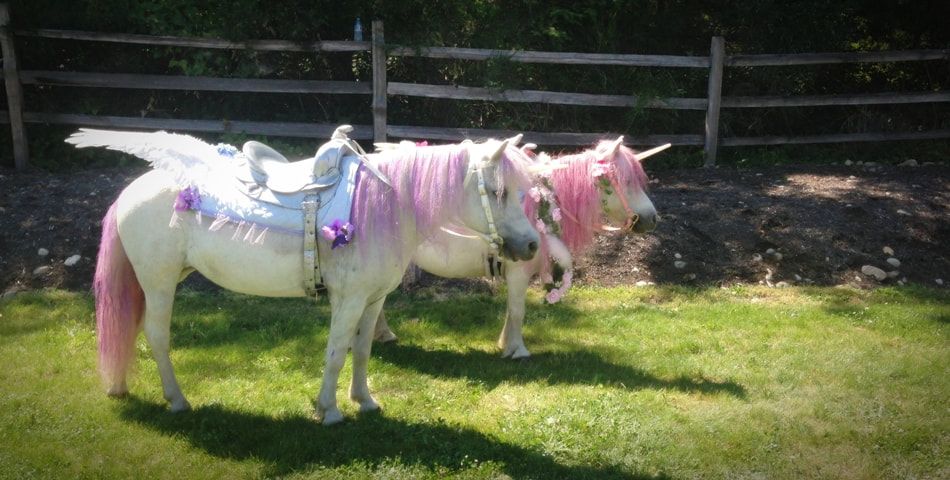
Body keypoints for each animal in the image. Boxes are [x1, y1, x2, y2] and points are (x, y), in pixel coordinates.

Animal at [71, 128, 540, 425]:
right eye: (498, 191)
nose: (533, 245)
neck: (385, 205)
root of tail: (130, 191)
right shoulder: (348, 300)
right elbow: (335, 351)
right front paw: (329, 410)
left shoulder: (373, 301)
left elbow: (362, 350)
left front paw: (365, 402)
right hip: (160, 282)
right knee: (157, 335)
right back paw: (177, 400)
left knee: (132, 328)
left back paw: (123, 386)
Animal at [373, 137, 661, 359]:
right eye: (626, 181)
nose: (652, 219)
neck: (543, 203)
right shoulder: (518, 272)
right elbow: (518, 311)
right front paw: (518, 351)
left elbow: (512, 311)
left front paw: (506, 343)